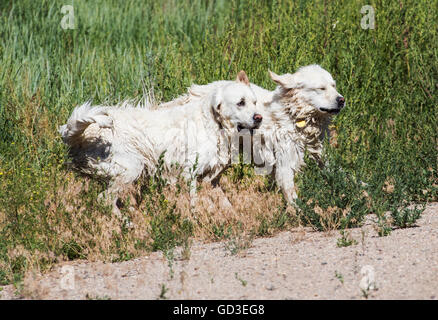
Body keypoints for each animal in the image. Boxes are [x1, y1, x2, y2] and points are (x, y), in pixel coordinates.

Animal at [60, 70, 262, 210]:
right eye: (240, 102)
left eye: (254, 102)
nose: (259, 118)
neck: (214, 123)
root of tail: (83, 134)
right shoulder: (189, 173)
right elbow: (194, 202)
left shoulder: (211, 179)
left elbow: (225, 203)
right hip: (132, 167)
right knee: (104, 199)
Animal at [166, 65, 344, 204]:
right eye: (321, 88)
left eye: (334, 85)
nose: (341, 100)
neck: (293, 114)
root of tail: (191, 93)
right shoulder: (285, 159)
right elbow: (290, 190)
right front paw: (301, 213)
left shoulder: (318, 149)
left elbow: (336, 170)